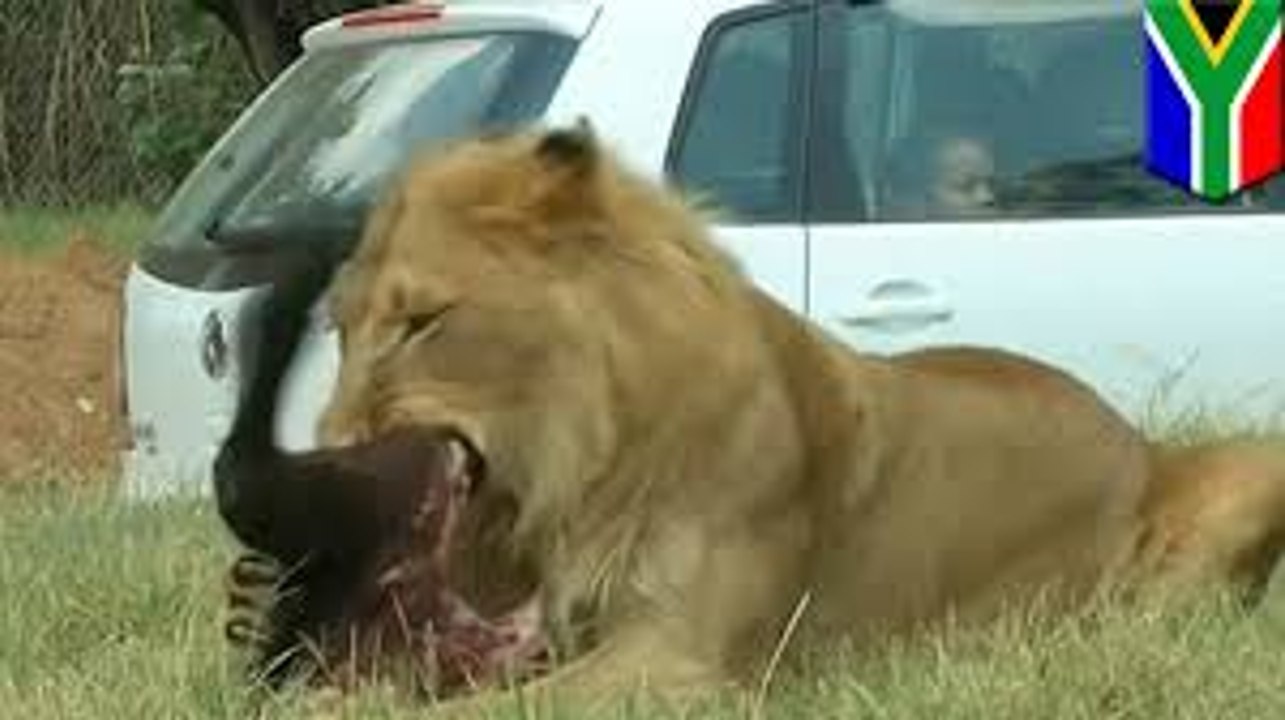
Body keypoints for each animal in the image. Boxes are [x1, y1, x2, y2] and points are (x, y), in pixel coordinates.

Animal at [226, 121, 1285, 714]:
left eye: (422, 323)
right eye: (343, 327)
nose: (323, 455)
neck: (584, 470)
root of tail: (1128, 433)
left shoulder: (685, 659)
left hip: (1252, 466)